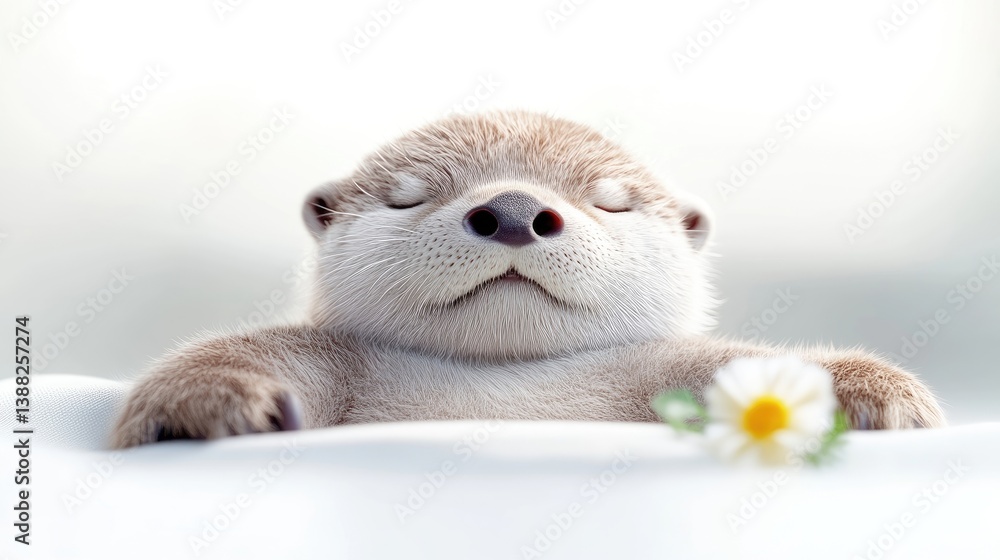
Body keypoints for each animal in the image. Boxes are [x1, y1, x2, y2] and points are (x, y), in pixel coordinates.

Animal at [110, 111, 945, 448]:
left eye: (609, 199)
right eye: (411, 194)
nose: (513, 210)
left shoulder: (656, 367)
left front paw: (862, 393)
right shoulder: (344, 354)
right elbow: (255, 350)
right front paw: (204, 402)